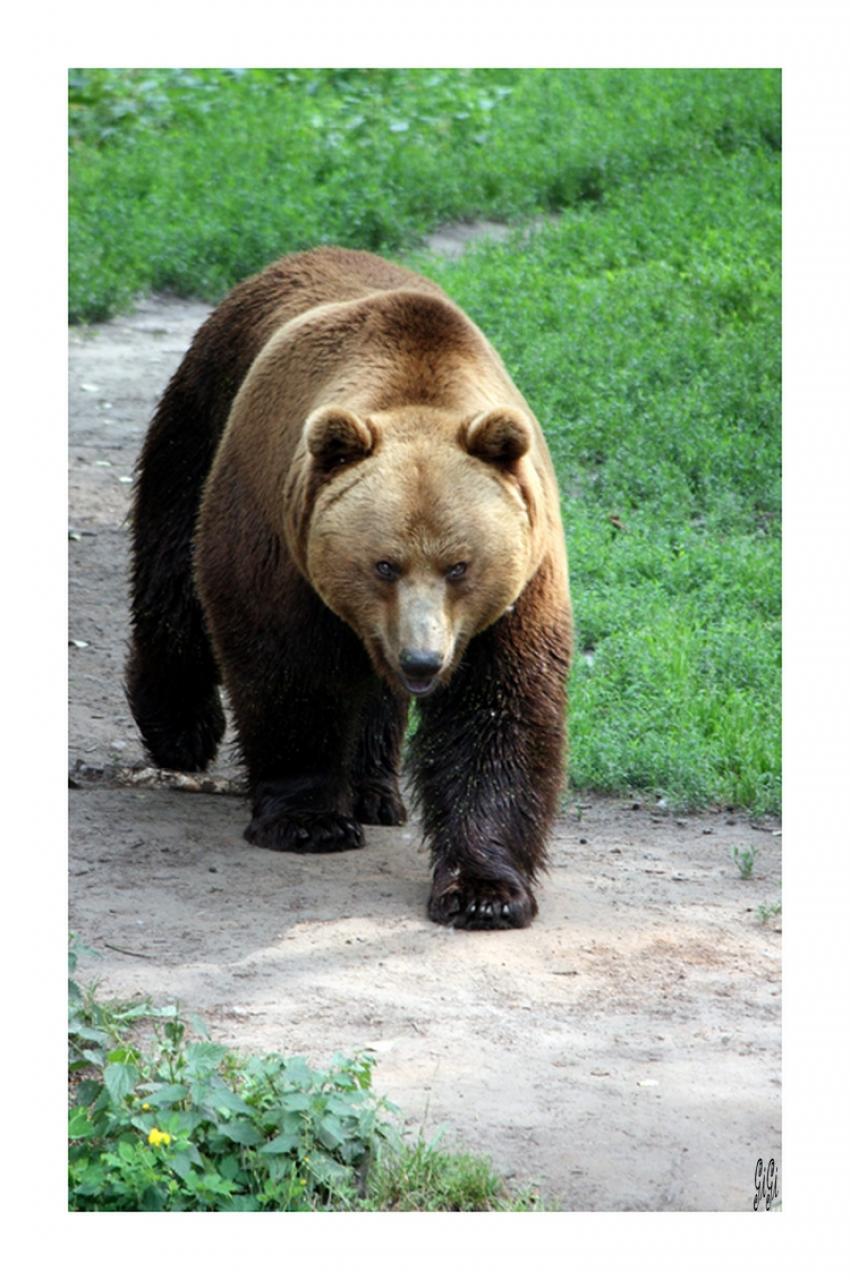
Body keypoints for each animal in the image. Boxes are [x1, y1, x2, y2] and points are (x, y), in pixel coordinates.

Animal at [127, 247, 572, 929]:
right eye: (383, 564)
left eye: (459, 566)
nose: (422, 660)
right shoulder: (278, 538)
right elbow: (287, 669)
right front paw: (309, 819)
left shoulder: (518, 585)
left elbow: (498, 711)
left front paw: (484, 891)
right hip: (199, 420)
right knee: (172, 575)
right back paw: (179, 728)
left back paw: (373, 790)